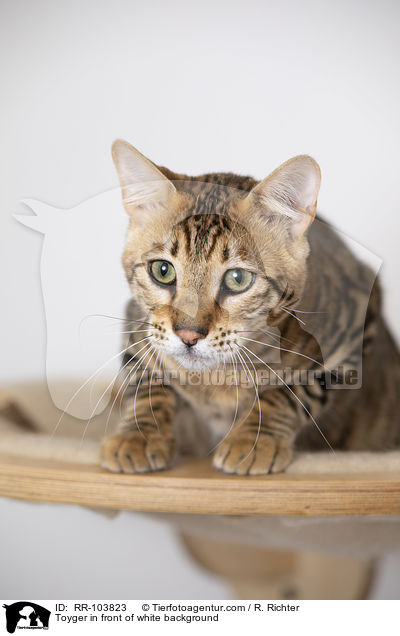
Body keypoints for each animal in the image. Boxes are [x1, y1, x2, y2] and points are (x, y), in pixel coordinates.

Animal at [100, 142, 400, 474]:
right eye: (162, 271)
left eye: (238, 279)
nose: (189, 335)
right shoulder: (138, 324)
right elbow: (144, 381)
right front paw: (138, 434)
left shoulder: (357, 324)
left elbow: (293, 391)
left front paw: (254, 439)